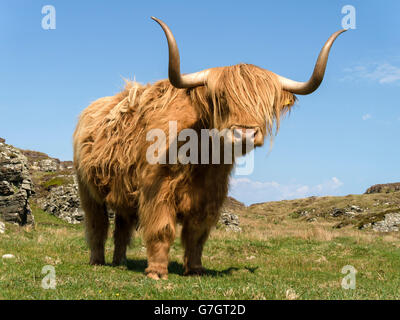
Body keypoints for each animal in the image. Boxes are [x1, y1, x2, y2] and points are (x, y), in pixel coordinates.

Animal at [73, 17, 346, 278]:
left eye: (266, 104)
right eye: (222, 98)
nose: (245, 133)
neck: (202, 157)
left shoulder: (210, 198)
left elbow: (196, 235)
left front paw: (195, 270)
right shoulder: (156, 191)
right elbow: (162, 230)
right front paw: (157, 272)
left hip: (122, 193)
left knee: (122, 226)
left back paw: (120, 262)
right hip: (88, 190)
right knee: (98, 225)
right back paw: (97, 261)